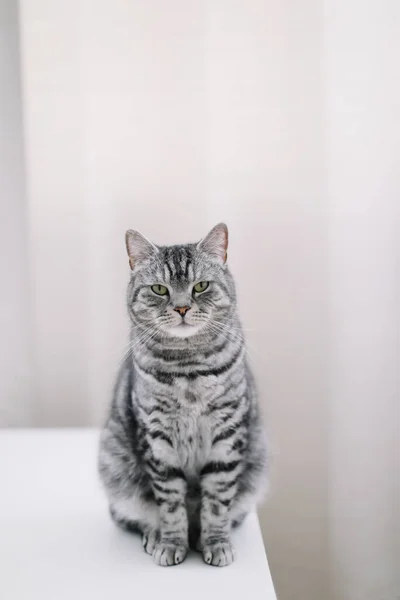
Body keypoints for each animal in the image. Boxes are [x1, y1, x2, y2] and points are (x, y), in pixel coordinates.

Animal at [98, 224, 268, 568]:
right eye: (159, 289)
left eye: (200, 286)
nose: (181, 308)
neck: (188, 370)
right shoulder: (157, 438)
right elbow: (170, 505)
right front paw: (171, 543)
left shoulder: (227, 432)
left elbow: (216, 503)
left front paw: (216, 543)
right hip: (115, 464)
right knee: (142, 515)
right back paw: (155, 535)